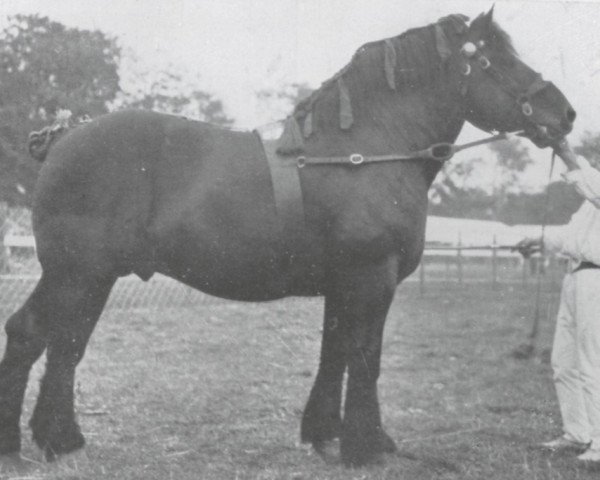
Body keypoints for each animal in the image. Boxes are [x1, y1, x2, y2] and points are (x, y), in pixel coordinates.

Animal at [0, 7, 576, 466]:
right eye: (496, 60)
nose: (565, 113)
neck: (366, 150)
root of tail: (64, 138)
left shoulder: (344, 285)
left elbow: (334, 351)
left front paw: (326, 435)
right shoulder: (372, 278)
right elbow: (365, 356)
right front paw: (366, 446)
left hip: (84, 277)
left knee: (47, 339)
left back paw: (46, 441)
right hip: (79, 274)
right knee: (51, 340)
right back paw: (41, 443)